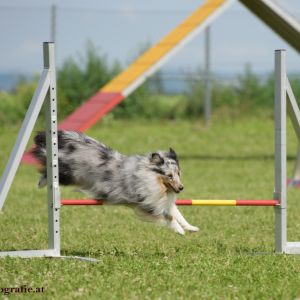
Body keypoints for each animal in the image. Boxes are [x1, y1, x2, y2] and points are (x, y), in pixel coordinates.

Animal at [32, 131, 199, 234]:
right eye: (169, 175)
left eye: (178, 174)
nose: (181, 188)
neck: (153, 180)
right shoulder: (147, 204)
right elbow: (169, 217)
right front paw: (179, 231)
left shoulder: (162, 201)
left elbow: (178, 214)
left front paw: (191, 228)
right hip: (68, 174)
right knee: (48, 173)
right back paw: (41, 183)